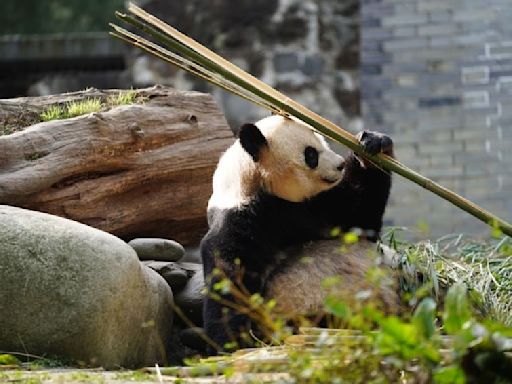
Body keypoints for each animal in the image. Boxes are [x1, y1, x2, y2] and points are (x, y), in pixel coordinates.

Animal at [200, 114, 396, 352]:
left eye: (323, 140)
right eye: (311, 154)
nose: (340, 164)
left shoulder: (320, 206)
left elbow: (361, 220)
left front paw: (373, 145)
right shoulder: (241, 221)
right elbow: (231, 281)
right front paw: (233, 344)